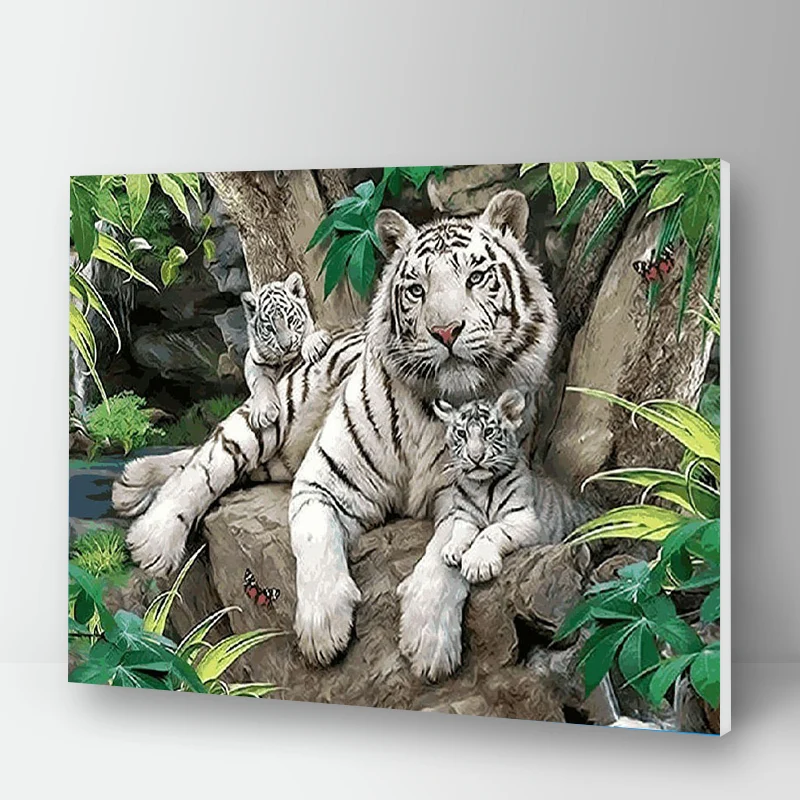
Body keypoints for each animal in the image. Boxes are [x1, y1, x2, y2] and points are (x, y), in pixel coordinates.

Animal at [242, 271, 332, 428]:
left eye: (290, 320)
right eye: (270, 328)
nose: (286, 346)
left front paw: (313, 346)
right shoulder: (253, 359)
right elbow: (259, 380)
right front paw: (263, 412)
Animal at [433, 389, 546, 584]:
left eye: (489, 431)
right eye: (461, 434)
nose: (475, 457)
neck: (481, 486)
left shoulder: (524, 519)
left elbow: (491, 531)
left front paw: (477, 565)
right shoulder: (466, 515)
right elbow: (460, 530)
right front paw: (452, 549)